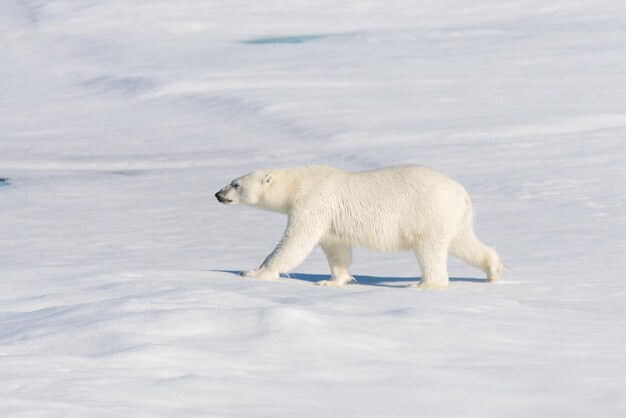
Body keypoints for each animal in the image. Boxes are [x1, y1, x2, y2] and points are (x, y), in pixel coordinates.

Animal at [216, 164, 502, 288]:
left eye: (236, 184)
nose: (218, 194)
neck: (297, 182)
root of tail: (462, 194)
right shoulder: (330, 219)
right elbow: (336, 247)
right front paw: (332, 280)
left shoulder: (313, 200)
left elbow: (297, 240)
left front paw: (253, 272)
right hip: (454, 217)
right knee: (463, 242)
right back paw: (493, 270)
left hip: (428, 212)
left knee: (429, 249)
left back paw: (423, 284)